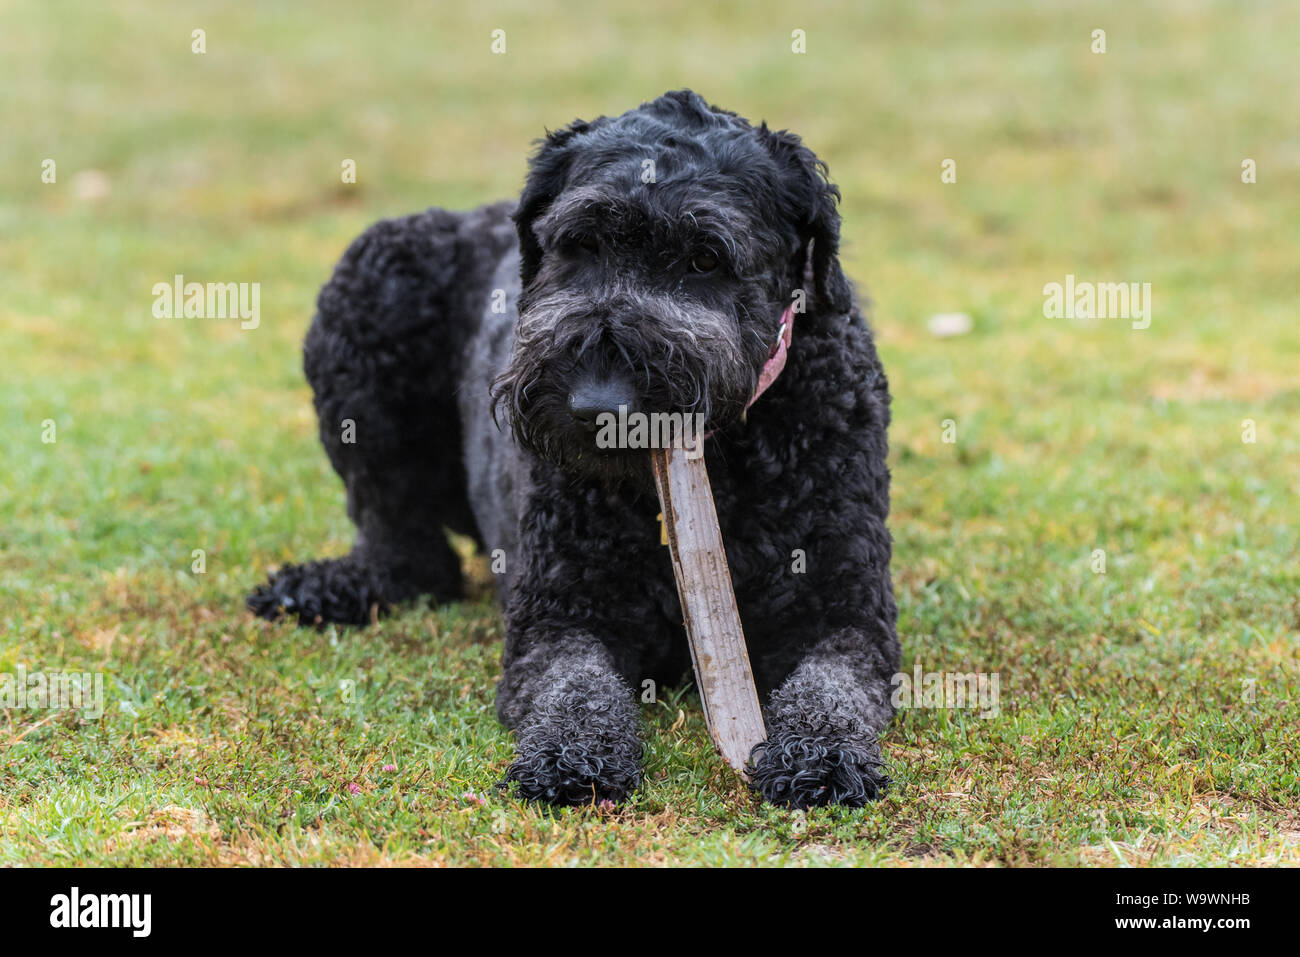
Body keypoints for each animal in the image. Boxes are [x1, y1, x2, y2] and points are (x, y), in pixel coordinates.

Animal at [253, 91, 904, 806]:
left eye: (706, 258)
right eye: (581, 242)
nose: (598, 405)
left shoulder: (844, 610)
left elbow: (830, 687)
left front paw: (820, 754)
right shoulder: (562, 613)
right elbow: (577, 686)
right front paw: (573, 754)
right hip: (368, 288)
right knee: (406, 547)